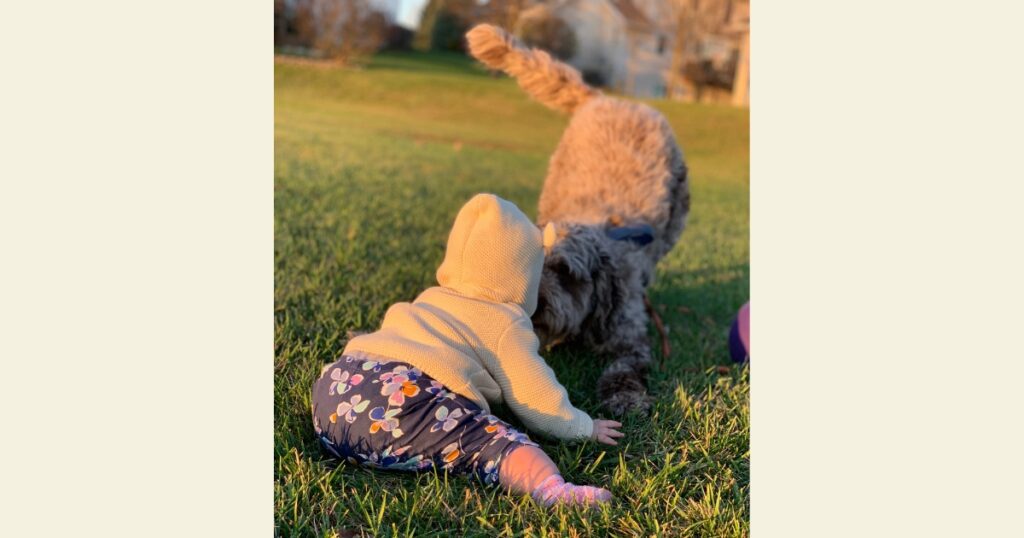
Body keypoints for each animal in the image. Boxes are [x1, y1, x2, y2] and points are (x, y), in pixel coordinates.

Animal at [468, 24, 692, 416]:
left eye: (566, 273)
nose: (536, 307)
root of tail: (608, 99)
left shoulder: (630, 338)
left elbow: (624, 367)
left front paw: (624, 396)